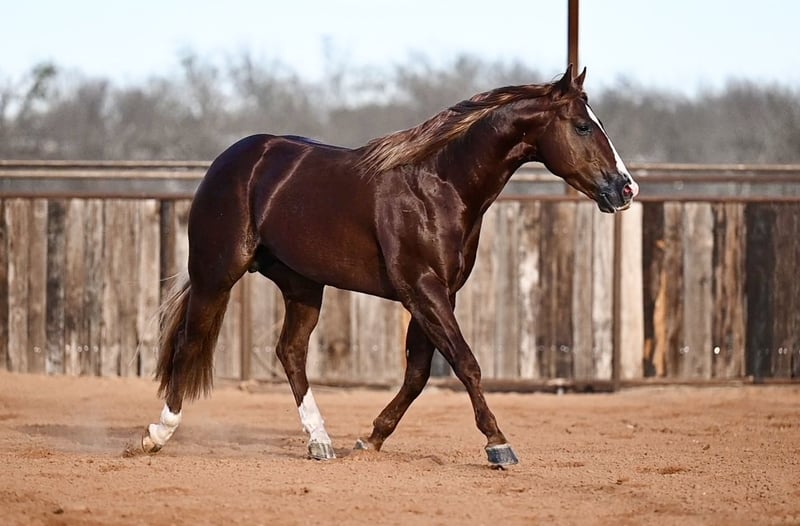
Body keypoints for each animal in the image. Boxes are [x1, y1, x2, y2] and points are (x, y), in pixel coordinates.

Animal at [141, 65, 639, 466]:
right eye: (582, 126)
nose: (625, 189)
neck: (440, 185)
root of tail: (232, 159)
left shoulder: (436, 292)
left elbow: (418, 374)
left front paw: (371, 438)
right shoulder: (422, 288)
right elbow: (466, 363)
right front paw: (498, 444)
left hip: (302, 285)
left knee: (290, 352)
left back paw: (320, 442)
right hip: (216, 274)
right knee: (188, 343)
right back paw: (157, 435)